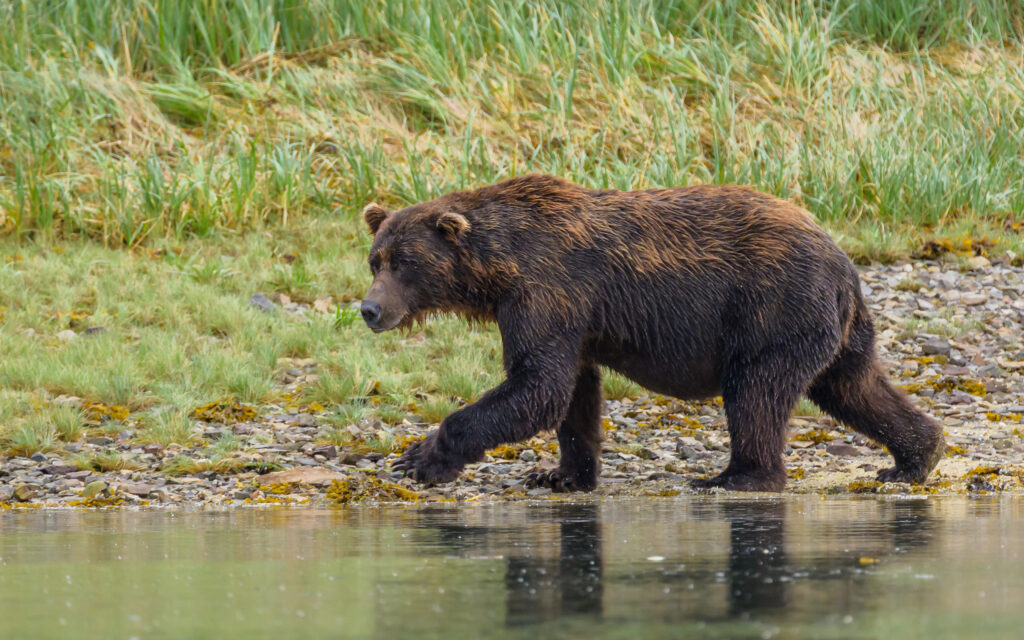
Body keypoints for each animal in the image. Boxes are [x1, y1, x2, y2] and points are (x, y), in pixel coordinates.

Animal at [359, 174, 944, 492]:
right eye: (375, 260)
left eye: (405, 263)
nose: (368, 309)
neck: (497, 268)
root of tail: (844, 261)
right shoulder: (573, 318)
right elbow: (572, 392)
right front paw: (561, 474)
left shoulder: (548, 289)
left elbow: (537, 385)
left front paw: (422, 457)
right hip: (835, 327)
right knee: (854, 386)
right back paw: (915, 457)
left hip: (773, 308)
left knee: (756, 392)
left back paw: (737, 475)